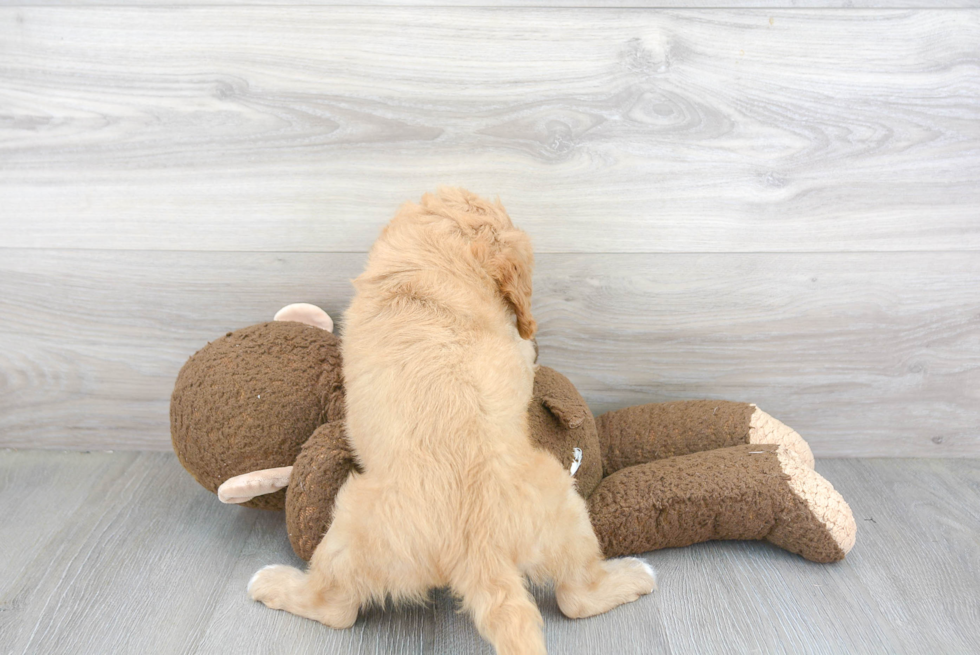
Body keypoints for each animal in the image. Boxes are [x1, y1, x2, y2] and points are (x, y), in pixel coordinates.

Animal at [249, 188, 656, 655]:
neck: (430, 270)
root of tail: (480, 547)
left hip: (352, 527)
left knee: (335, 607)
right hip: (564, 509)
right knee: (576, 596)